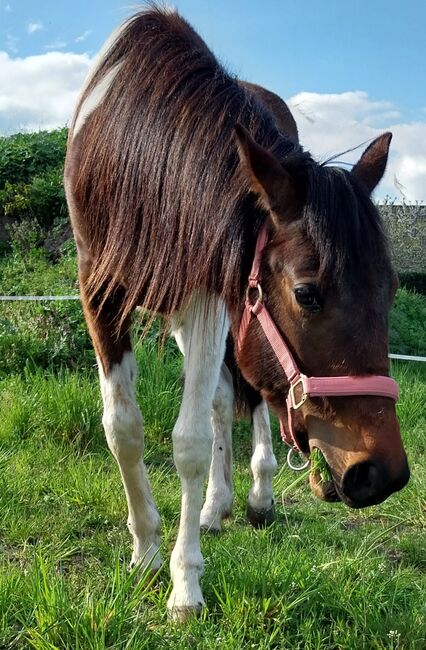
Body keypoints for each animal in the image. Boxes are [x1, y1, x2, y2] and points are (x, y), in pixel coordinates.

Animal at [64, 7, 410, 620]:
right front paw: (147, 551)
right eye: (307, 293)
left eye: (391, 288)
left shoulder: (209, 298)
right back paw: (215, 507)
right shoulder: (100, 293)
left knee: (250, 406)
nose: (382, 474)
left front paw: (184, 584)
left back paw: (256, 495)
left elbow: (190, 441)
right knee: (228, 399)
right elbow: (125, 428)